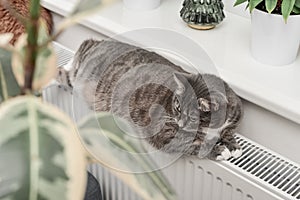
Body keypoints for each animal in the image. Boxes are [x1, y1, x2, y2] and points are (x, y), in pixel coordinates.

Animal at [56, 39, 244, 161]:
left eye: (192, 116)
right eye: (177, 108)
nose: (180, 122)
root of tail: (96, 41)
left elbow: (228, 132)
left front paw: (232, 145)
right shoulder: (165, 133)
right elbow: (191, 144)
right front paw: (218, 150)